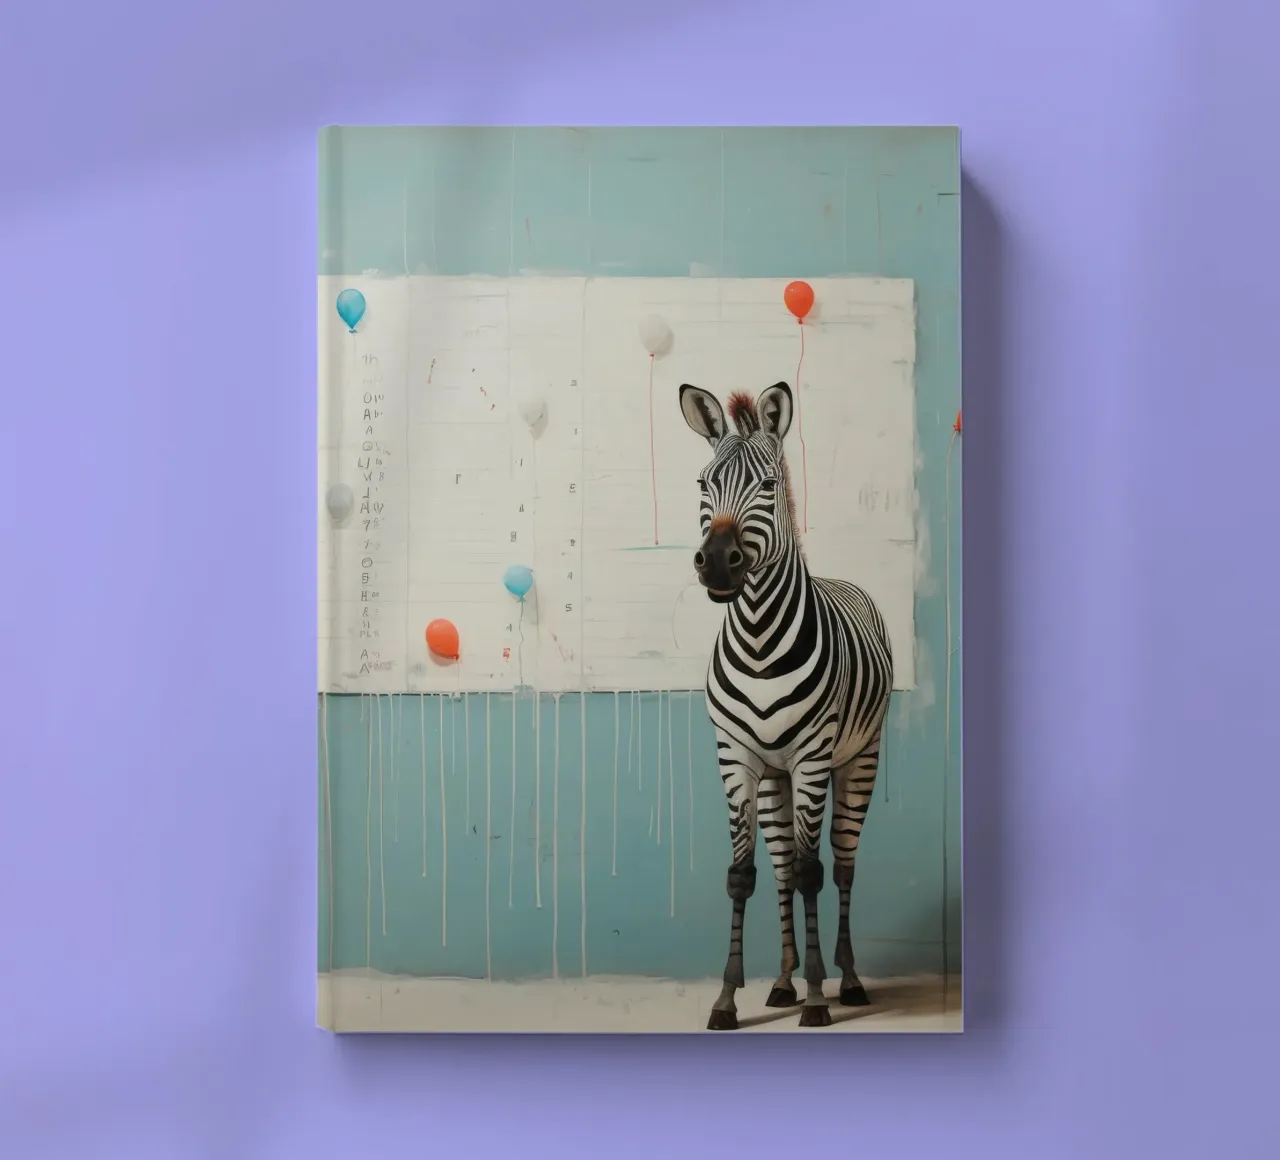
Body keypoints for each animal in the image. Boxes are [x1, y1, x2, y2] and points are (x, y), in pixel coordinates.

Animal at [678, 380, 894, 1030]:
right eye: (703, 483)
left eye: (768, 485)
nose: (717, 562)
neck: (756, 639)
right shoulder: (736, 759)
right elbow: (743, 875)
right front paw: (729, 998)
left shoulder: (813, 758)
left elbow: (811, 872)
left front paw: (818, 998)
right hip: (775, 776)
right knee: (779, 866)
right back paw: (780, 981)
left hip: (857, 761)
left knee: (841, 863)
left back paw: (847, 979)